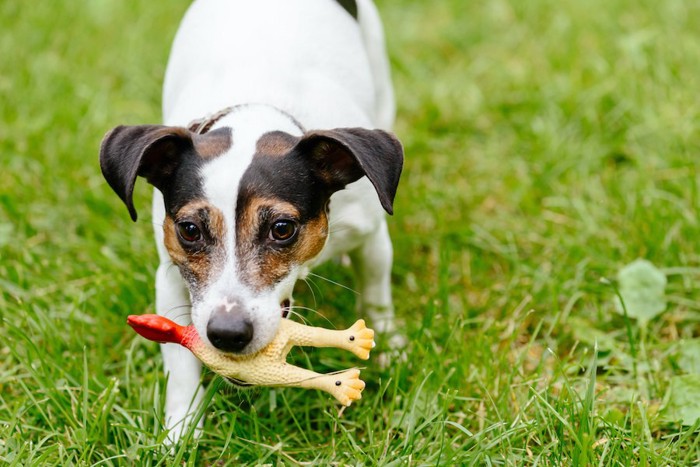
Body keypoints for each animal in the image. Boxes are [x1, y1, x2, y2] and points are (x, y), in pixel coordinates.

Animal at [100, 0, 404, 442]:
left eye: (282, 229)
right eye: (189, 230)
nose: (227, 334)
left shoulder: (370, 233)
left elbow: (376, 291)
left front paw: (390, 345)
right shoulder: (171, 276)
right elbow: (179, 364)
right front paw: (180, 432)